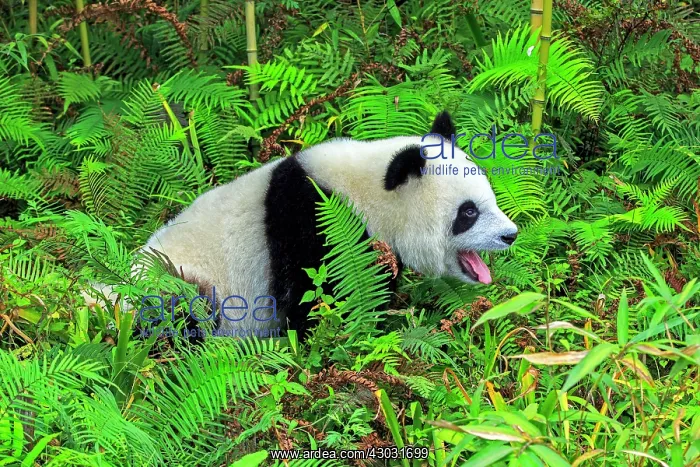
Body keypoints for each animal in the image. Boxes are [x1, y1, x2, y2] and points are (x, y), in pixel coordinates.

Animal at [97, 111, 518, 339]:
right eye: (468, 212)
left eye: (491, 197)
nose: (510, 235)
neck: (365, 194)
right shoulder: (310, 222)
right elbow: (313, 297)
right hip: (173, 282)